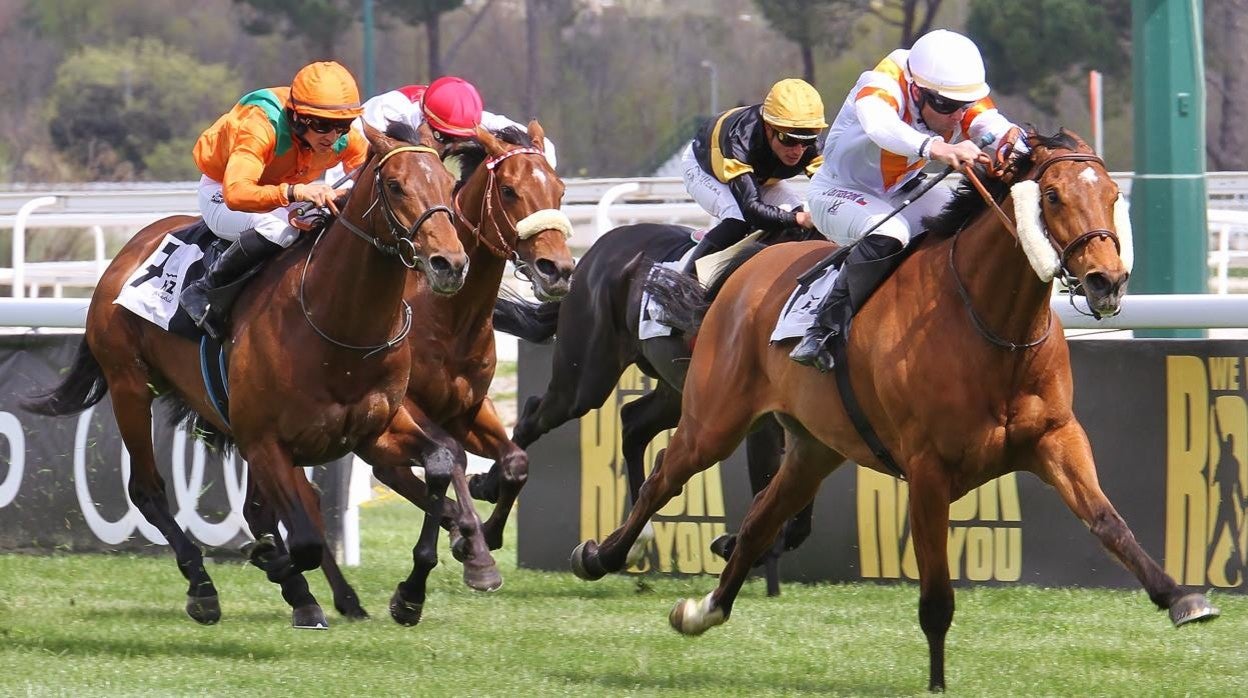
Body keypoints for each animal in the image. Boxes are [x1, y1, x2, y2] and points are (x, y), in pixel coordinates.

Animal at [25, 121, 471, 629]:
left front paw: (412, 592)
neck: (338, 324)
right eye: (395, 186)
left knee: (259, 510)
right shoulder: (264, 440)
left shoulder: (371, 430)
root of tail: (124, 255)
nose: (450, 264)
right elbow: (304, 539)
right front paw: (271, 562)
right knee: (148, 490)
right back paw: (205, 588)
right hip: (130, 386)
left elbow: (441, 462)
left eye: (449, 184)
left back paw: (309, 597)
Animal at [571, 128, 1213, 689]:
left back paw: (702, 610)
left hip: (813, 448)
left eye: (1111, 196)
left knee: (757, 523)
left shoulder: (1055, 438)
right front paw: (936, 683)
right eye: (1052, 196)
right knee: (664, 476)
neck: (990, 325)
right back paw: (603, 555)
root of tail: (740, 275)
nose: (1108, 281)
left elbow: (1108, 522)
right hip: (714, 418)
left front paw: (1182, 597)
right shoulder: (928, 470)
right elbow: (936, 596)